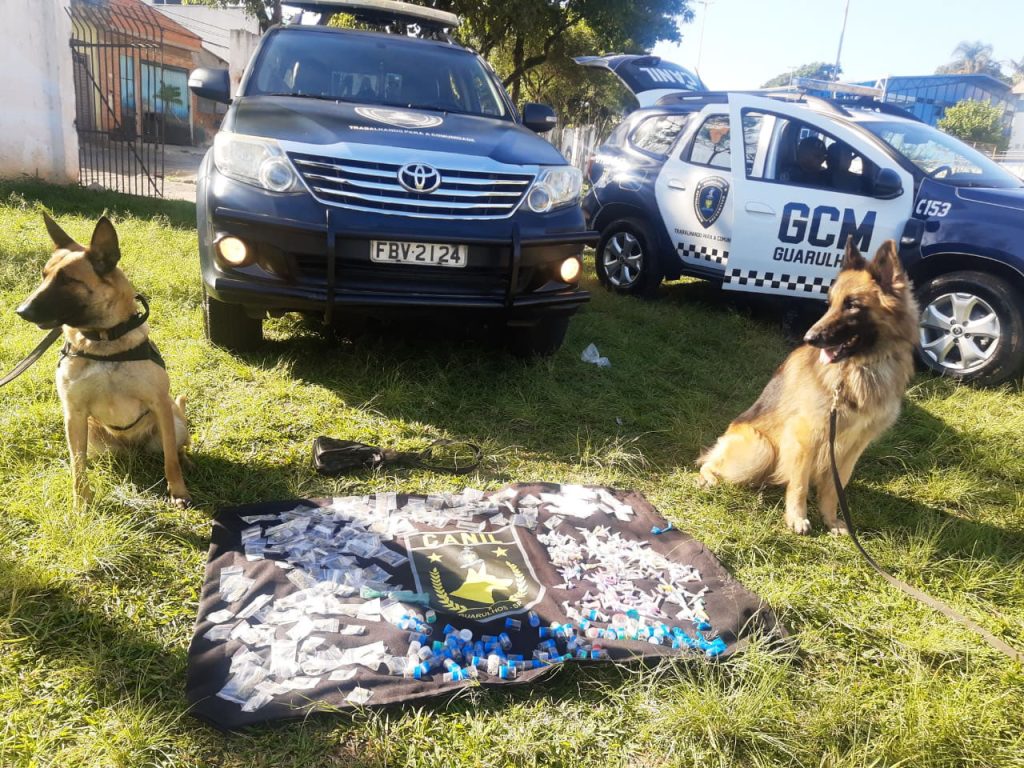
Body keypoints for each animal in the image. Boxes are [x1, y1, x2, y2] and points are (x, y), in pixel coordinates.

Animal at [15, 213, 191, 508]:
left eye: (67, 279)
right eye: (44, 275)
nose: (21, 311)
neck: (104, 341)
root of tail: (132, 449)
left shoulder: (160, 404)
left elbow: (170, 461)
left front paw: (178, 491)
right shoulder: (74, 414)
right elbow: (77, 466)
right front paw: (81, 504)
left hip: (174, 421)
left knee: (174, 449)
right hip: (92, 434)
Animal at [697, 237, 918, 534]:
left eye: (852, 305)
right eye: (830, 303)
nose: (809, 338)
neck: (863, 367)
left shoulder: (854, 446)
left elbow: (836, 487)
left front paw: (831, 519)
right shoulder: (806, 436)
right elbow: (799, 484)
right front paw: (796, 518)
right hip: (761, 449)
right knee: (709, 461)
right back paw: (709, 477)